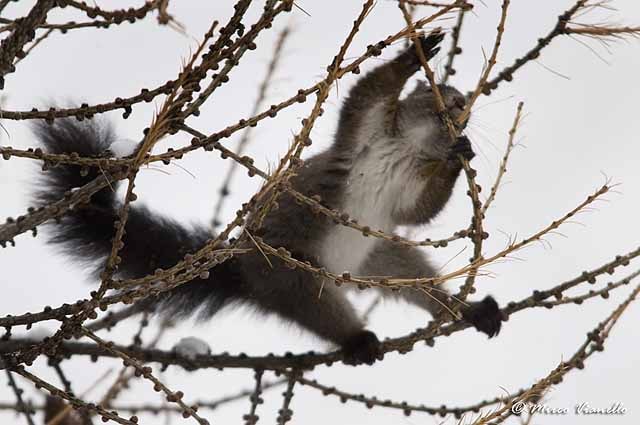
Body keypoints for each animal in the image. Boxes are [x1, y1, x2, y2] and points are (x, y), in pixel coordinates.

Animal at [33, 32, 504, 365]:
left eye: (467, 107)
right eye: (433, 92)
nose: (460, 105)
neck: (407, 149)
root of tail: (247, 275)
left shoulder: (404, 192)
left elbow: (420, 211)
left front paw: (459, 155)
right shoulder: (361, 133)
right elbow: (367, 92)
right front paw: (412, 54)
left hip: (383, 258)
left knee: (420, 285)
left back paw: (467, 310)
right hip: (292, 275)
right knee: (323, 313)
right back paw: (360, 341)